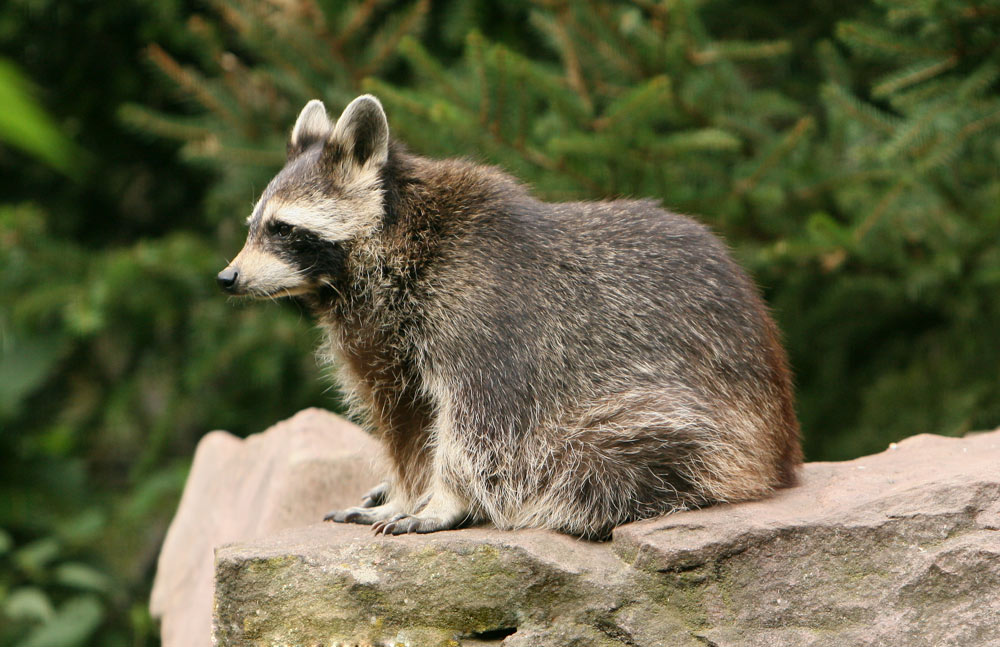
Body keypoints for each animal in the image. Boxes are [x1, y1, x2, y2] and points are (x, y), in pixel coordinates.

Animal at [219, 95, 804, 540]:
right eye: (252, 226)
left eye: (283, 229)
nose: (227, 277)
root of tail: (781, 451)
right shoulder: (381, 340)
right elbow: (406, 421)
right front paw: (406, 492)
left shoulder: (484, 313)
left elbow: (484, 422)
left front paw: (444, 500)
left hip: (696, 430)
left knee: (596, 467)